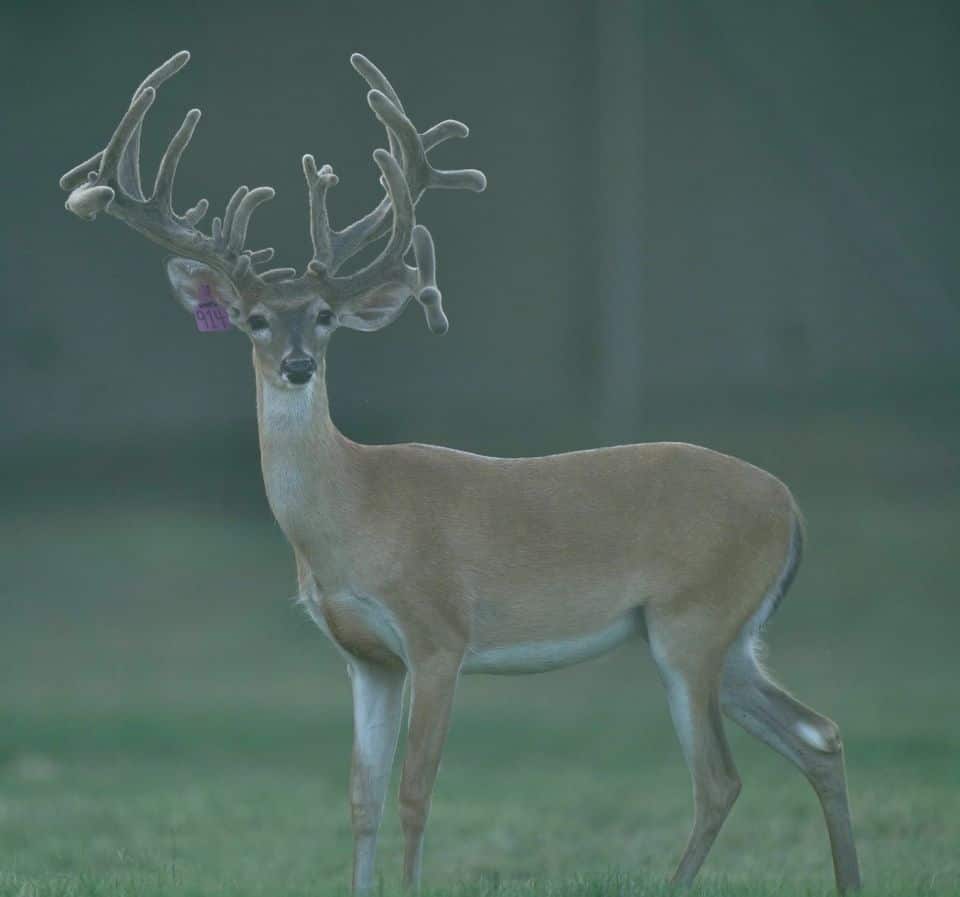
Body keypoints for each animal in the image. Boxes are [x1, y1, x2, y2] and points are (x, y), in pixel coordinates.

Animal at [59, 50, 861, 895]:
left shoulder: (438, 632)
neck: (351, 514)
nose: (297, 364)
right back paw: (848, 877)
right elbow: (361, 795)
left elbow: (415, 792)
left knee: (720, 778)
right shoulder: (366, 657)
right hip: (730, 637)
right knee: (820, 733)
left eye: (324, 316)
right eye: (255, 319)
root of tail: (790, 506)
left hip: (692, 618)